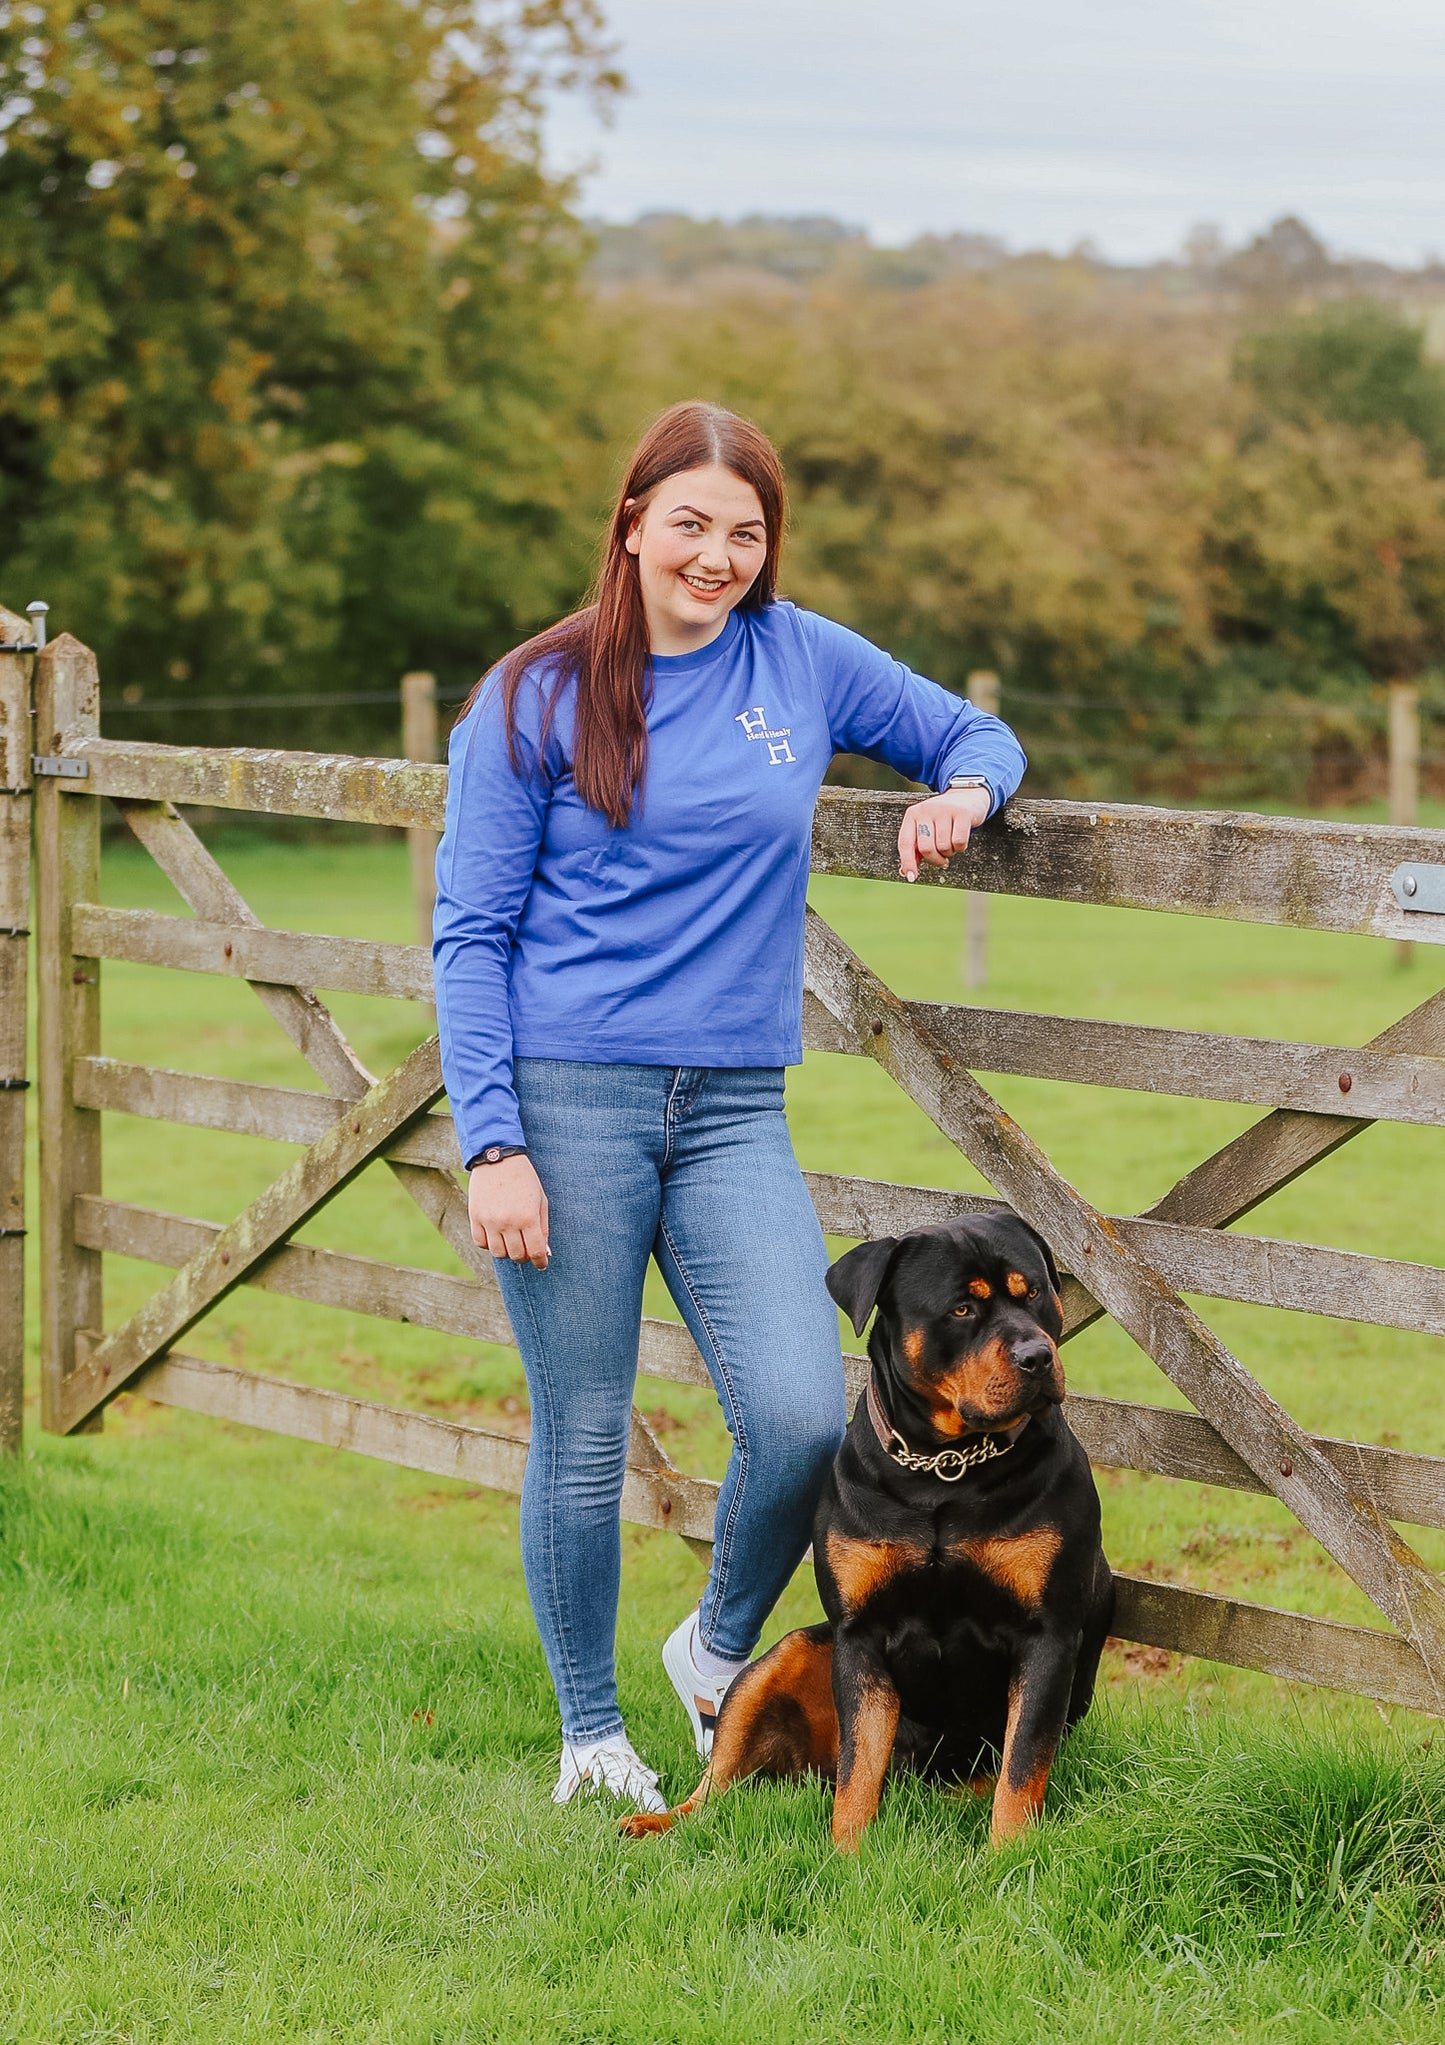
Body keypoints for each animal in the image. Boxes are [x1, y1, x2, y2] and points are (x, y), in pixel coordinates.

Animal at [625, 1210, 1120, 1856]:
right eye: (962, 1308)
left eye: (1032, 1292)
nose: (1037, 1356)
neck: (946, 1468)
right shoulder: (860, 1635)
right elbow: (859, 1765)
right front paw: (847, 1854)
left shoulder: (1047, 1637)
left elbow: (1023, 1765)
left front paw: (1009, 1858)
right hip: (783, 1658)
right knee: (719, 1781)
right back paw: (658, 1821)